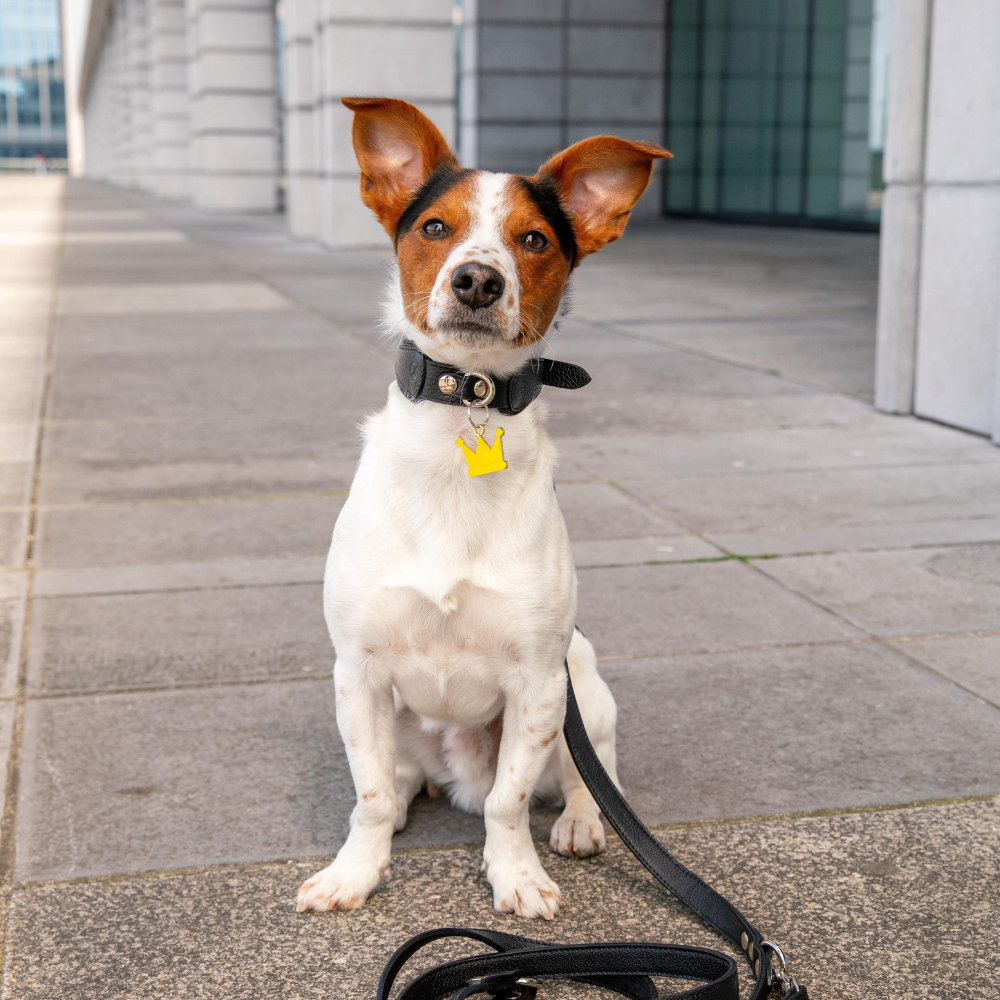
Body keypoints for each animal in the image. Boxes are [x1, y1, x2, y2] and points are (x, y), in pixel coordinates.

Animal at [296, 97, 672, 916]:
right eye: (436, 227)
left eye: (533, 240)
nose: (476, 280)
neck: (460, 420)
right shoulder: (357, 674)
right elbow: (370, 795)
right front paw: (355, 871)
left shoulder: (539, 683)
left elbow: (509, 802)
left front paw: (517, 874)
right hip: (407, 721)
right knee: (399, 781)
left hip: (585, 688)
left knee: (591, 776)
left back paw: (580, 822)